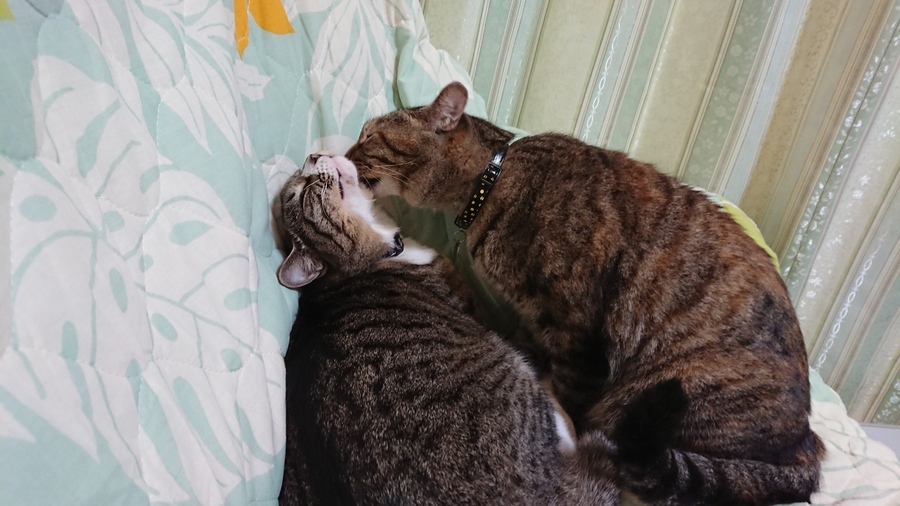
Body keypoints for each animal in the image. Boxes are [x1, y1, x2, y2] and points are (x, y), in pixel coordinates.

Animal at [276, 153, 618, 505]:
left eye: (301, 181)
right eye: (300, 193)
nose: (313, 156)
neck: (379, 255)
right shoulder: (471, 302)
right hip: (513, 371)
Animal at [345, 82, 825, 505]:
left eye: (369, 137)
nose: (343, 157)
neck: (494, 177)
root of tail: (806, 443)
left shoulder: (578, 333)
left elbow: (569, 400)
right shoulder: (535, 320)